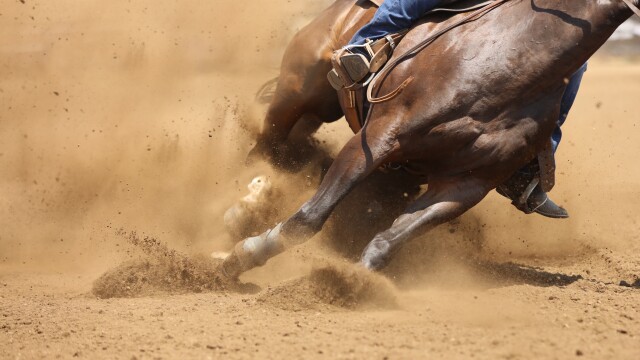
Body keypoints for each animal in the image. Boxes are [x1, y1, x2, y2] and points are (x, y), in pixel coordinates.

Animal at [219, 0, 636, 278]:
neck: (512, 57)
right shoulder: (377, 139)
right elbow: (310, 217)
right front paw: (245, 255)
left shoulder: (466, 184)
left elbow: (391, 240)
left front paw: (355, 281)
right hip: (296, 95)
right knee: (267, 149)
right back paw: (239, 206)